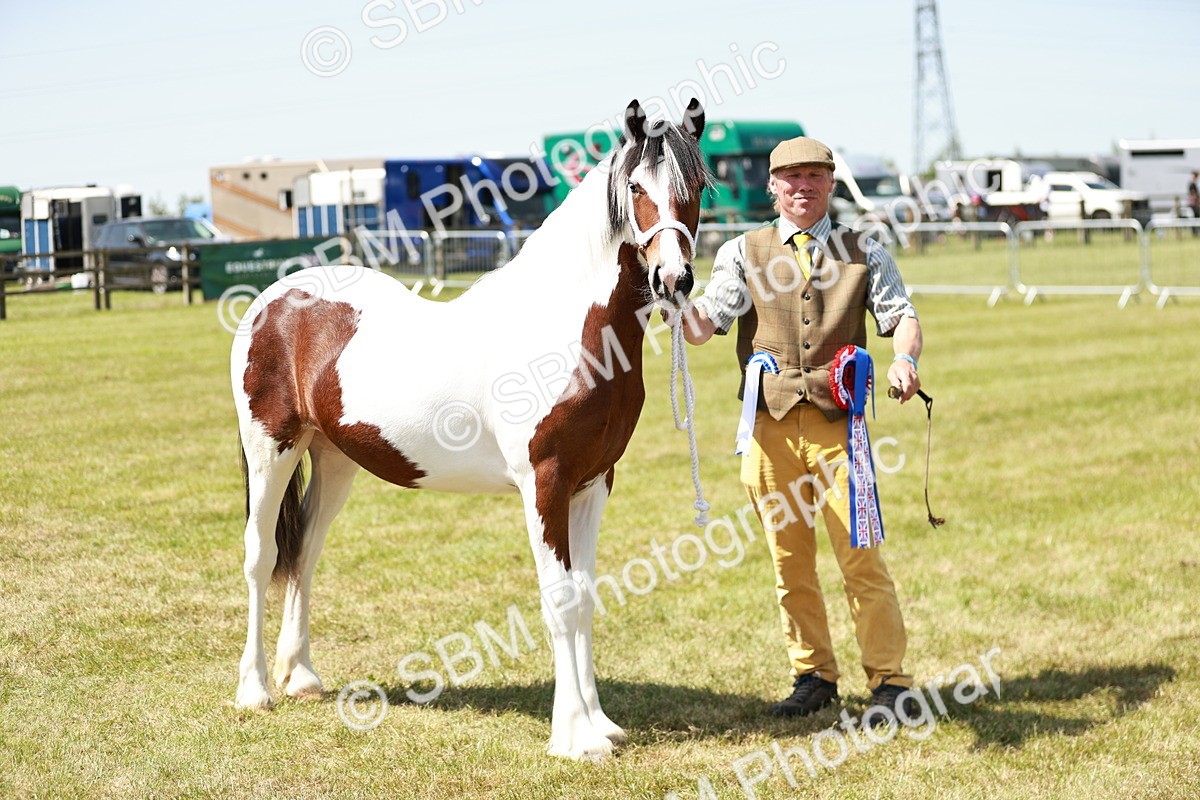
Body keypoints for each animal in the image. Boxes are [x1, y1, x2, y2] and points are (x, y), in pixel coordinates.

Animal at [230, 99, 709, 760]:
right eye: (636, 187)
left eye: (697, 188)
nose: (674, 279)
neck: (564, 328)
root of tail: (272, 301)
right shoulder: (545, 484)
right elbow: (560, 600)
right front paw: (573, 738)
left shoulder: (593, 483)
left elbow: (586, 596)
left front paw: (601, 724)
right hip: (270, 449)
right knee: (262, 555)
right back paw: (254, 691)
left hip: (333, 457)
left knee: (304, 551)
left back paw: (300, 677)